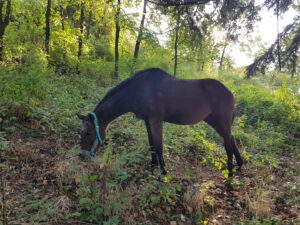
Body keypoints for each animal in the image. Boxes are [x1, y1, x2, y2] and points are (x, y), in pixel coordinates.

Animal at [77, 67, 244, 177]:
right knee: (231, 139)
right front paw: (152, 167)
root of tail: (230, 93)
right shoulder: (147, 121)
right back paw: (239, 164)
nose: (82, 156)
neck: (139, 91)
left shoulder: (156, 120)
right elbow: (151, 145)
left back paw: (230, 172)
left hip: (221, 121)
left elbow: (158, 147)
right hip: (214, 121)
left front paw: (163, 174)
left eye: (88, 132)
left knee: (228, 143)